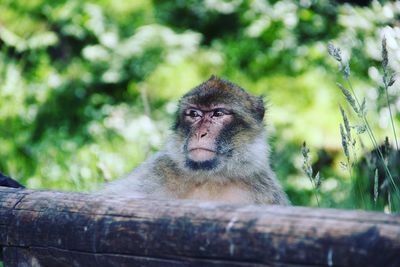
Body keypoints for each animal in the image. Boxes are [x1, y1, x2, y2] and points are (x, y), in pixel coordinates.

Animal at [0, 76, 288, 206]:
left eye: (218, 114)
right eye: (194, 114)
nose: (200, 133)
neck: (210, 177)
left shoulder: (263, 192)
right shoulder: (158, 171)